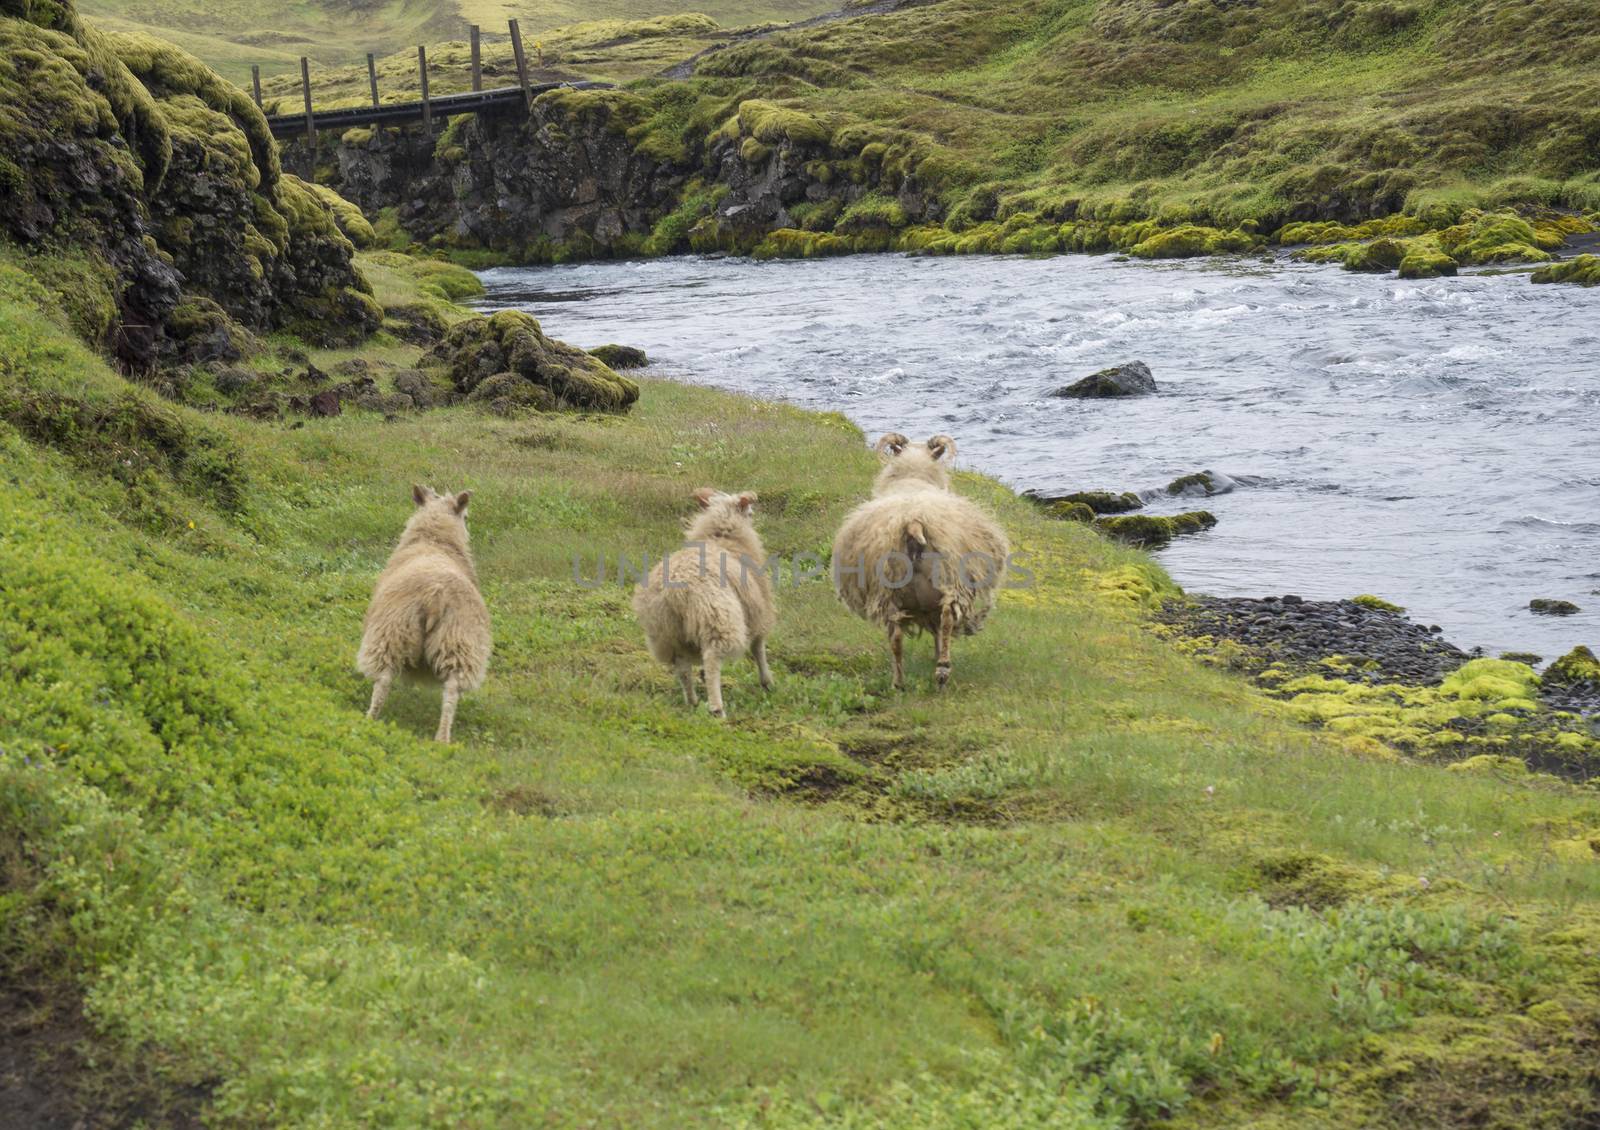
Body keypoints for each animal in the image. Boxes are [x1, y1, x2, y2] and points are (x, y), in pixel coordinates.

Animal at [355, 483, 486, 739]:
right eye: (466, 517)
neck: (434, 542)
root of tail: (435, 594)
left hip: (391, 634)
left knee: (383, 680)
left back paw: (370, 720)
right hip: (458, 643)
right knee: (452, 690)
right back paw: (442, 738)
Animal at [630, 483, 774, 713]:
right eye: (750, 512)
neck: (721, 538)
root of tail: (675, 589)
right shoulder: (758, 612)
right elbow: (758, 648)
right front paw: (767, 682)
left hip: (665, 630)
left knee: (682, 668)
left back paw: (692, 700)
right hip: (718, 618)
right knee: (712, 658)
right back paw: (716, 707)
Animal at [832, 435, 1004, 691]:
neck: (913, 478)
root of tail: (912, 522)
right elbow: (939, 630)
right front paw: (938, 658)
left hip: (888, 591)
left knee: (896, 637)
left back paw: (899, 683)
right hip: (950, 579)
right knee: (946, 619)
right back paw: (942, 670)